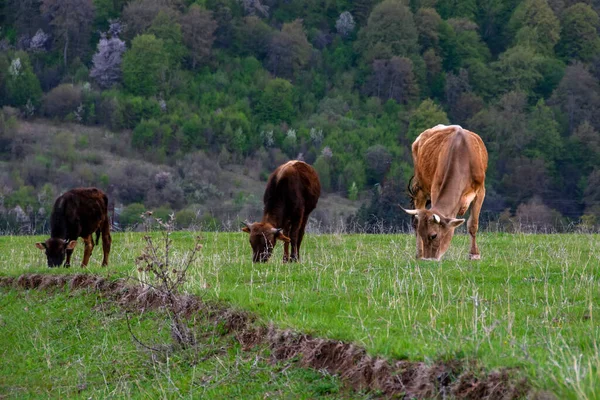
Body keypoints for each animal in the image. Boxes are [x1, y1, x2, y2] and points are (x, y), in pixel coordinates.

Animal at [404, 126, 488, 262]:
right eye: (422, 234)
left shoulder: (480, 191)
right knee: (416, 220)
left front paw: (474, 254)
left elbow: (473, 224)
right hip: (420, 187)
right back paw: (419, 254)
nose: (428, 259)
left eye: (434, 235)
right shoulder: (435, 187)